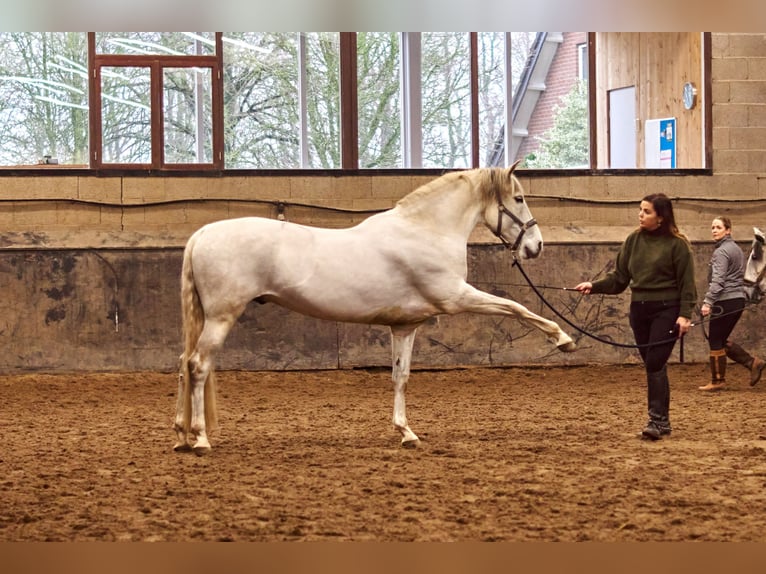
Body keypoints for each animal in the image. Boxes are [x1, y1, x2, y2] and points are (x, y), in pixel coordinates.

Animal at [176, 164, 576, 456]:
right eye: (519, 198)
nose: (536, 246)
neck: (425, 231)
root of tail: (201, 234)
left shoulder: (405, 326)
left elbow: (401, 377)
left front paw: (406, 432)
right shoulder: (457, 297)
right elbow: (516, 306)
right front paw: (563, 338)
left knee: (184, 364)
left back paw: (181, 435)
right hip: (222, 317)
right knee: (198, 365)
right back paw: (200, 439)